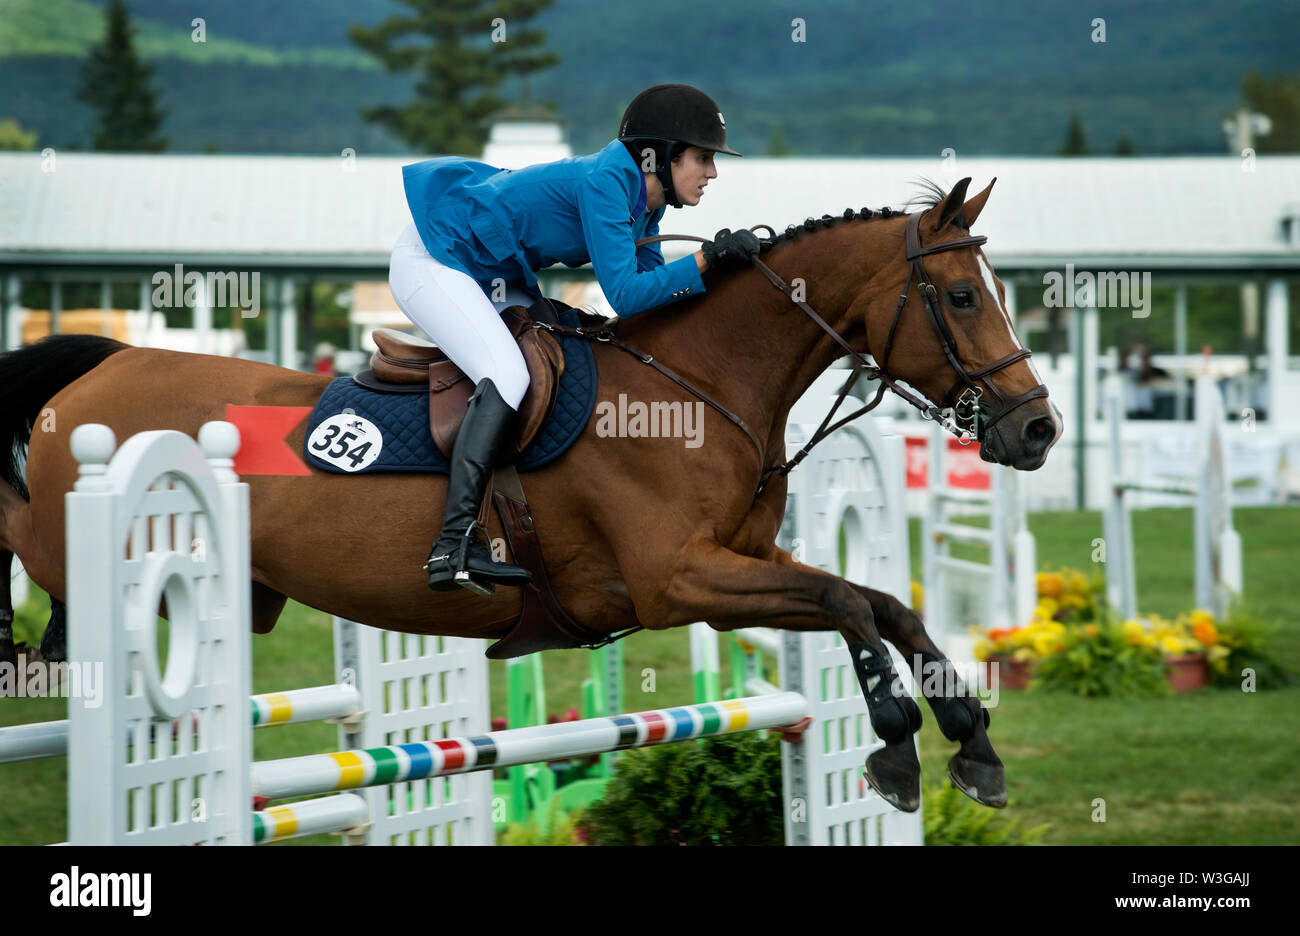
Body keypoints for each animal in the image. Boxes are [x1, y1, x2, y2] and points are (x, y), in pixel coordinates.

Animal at [0, 180, 1055, 811]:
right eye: (963, 296)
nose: (1038, 430)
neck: (696, 386)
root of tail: (103, 369)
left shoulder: (747, 561)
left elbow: (884, 606)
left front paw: (973, 744)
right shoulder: (678, 583)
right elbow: (847, 604)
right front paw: (896, 749)